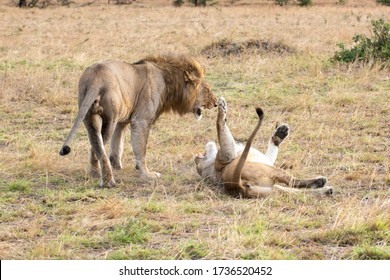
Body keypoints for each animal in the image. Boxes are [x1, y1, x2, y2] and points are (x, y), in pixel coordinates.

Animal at [58, 53, 216, 187]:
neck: (168, 82)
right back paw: (108, 182)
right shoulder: (141, 120)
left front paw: (117, 166)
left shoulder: (122, 121)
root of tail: (95, 77)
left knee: (95, 145)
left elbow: (117, 145)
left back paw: (96, 173)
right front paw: (147, 174)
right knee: (100, 146)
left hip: (88, 114)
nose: (215, 103)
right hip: (110, 119)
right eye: (208, 91)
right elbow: (141, 149)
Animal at [193, 97, 334, 198]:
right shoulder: (227, 156)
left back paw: (325, 190)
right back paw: (321, 183)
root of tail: (235, 186)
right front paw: (221, 109)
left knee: (296, 192)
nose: (195, 158)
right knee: (293, 181)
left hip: (273, 189)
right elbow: (220, 125)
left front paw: (280, 133)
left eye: (197, 164)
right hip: (270, 170)